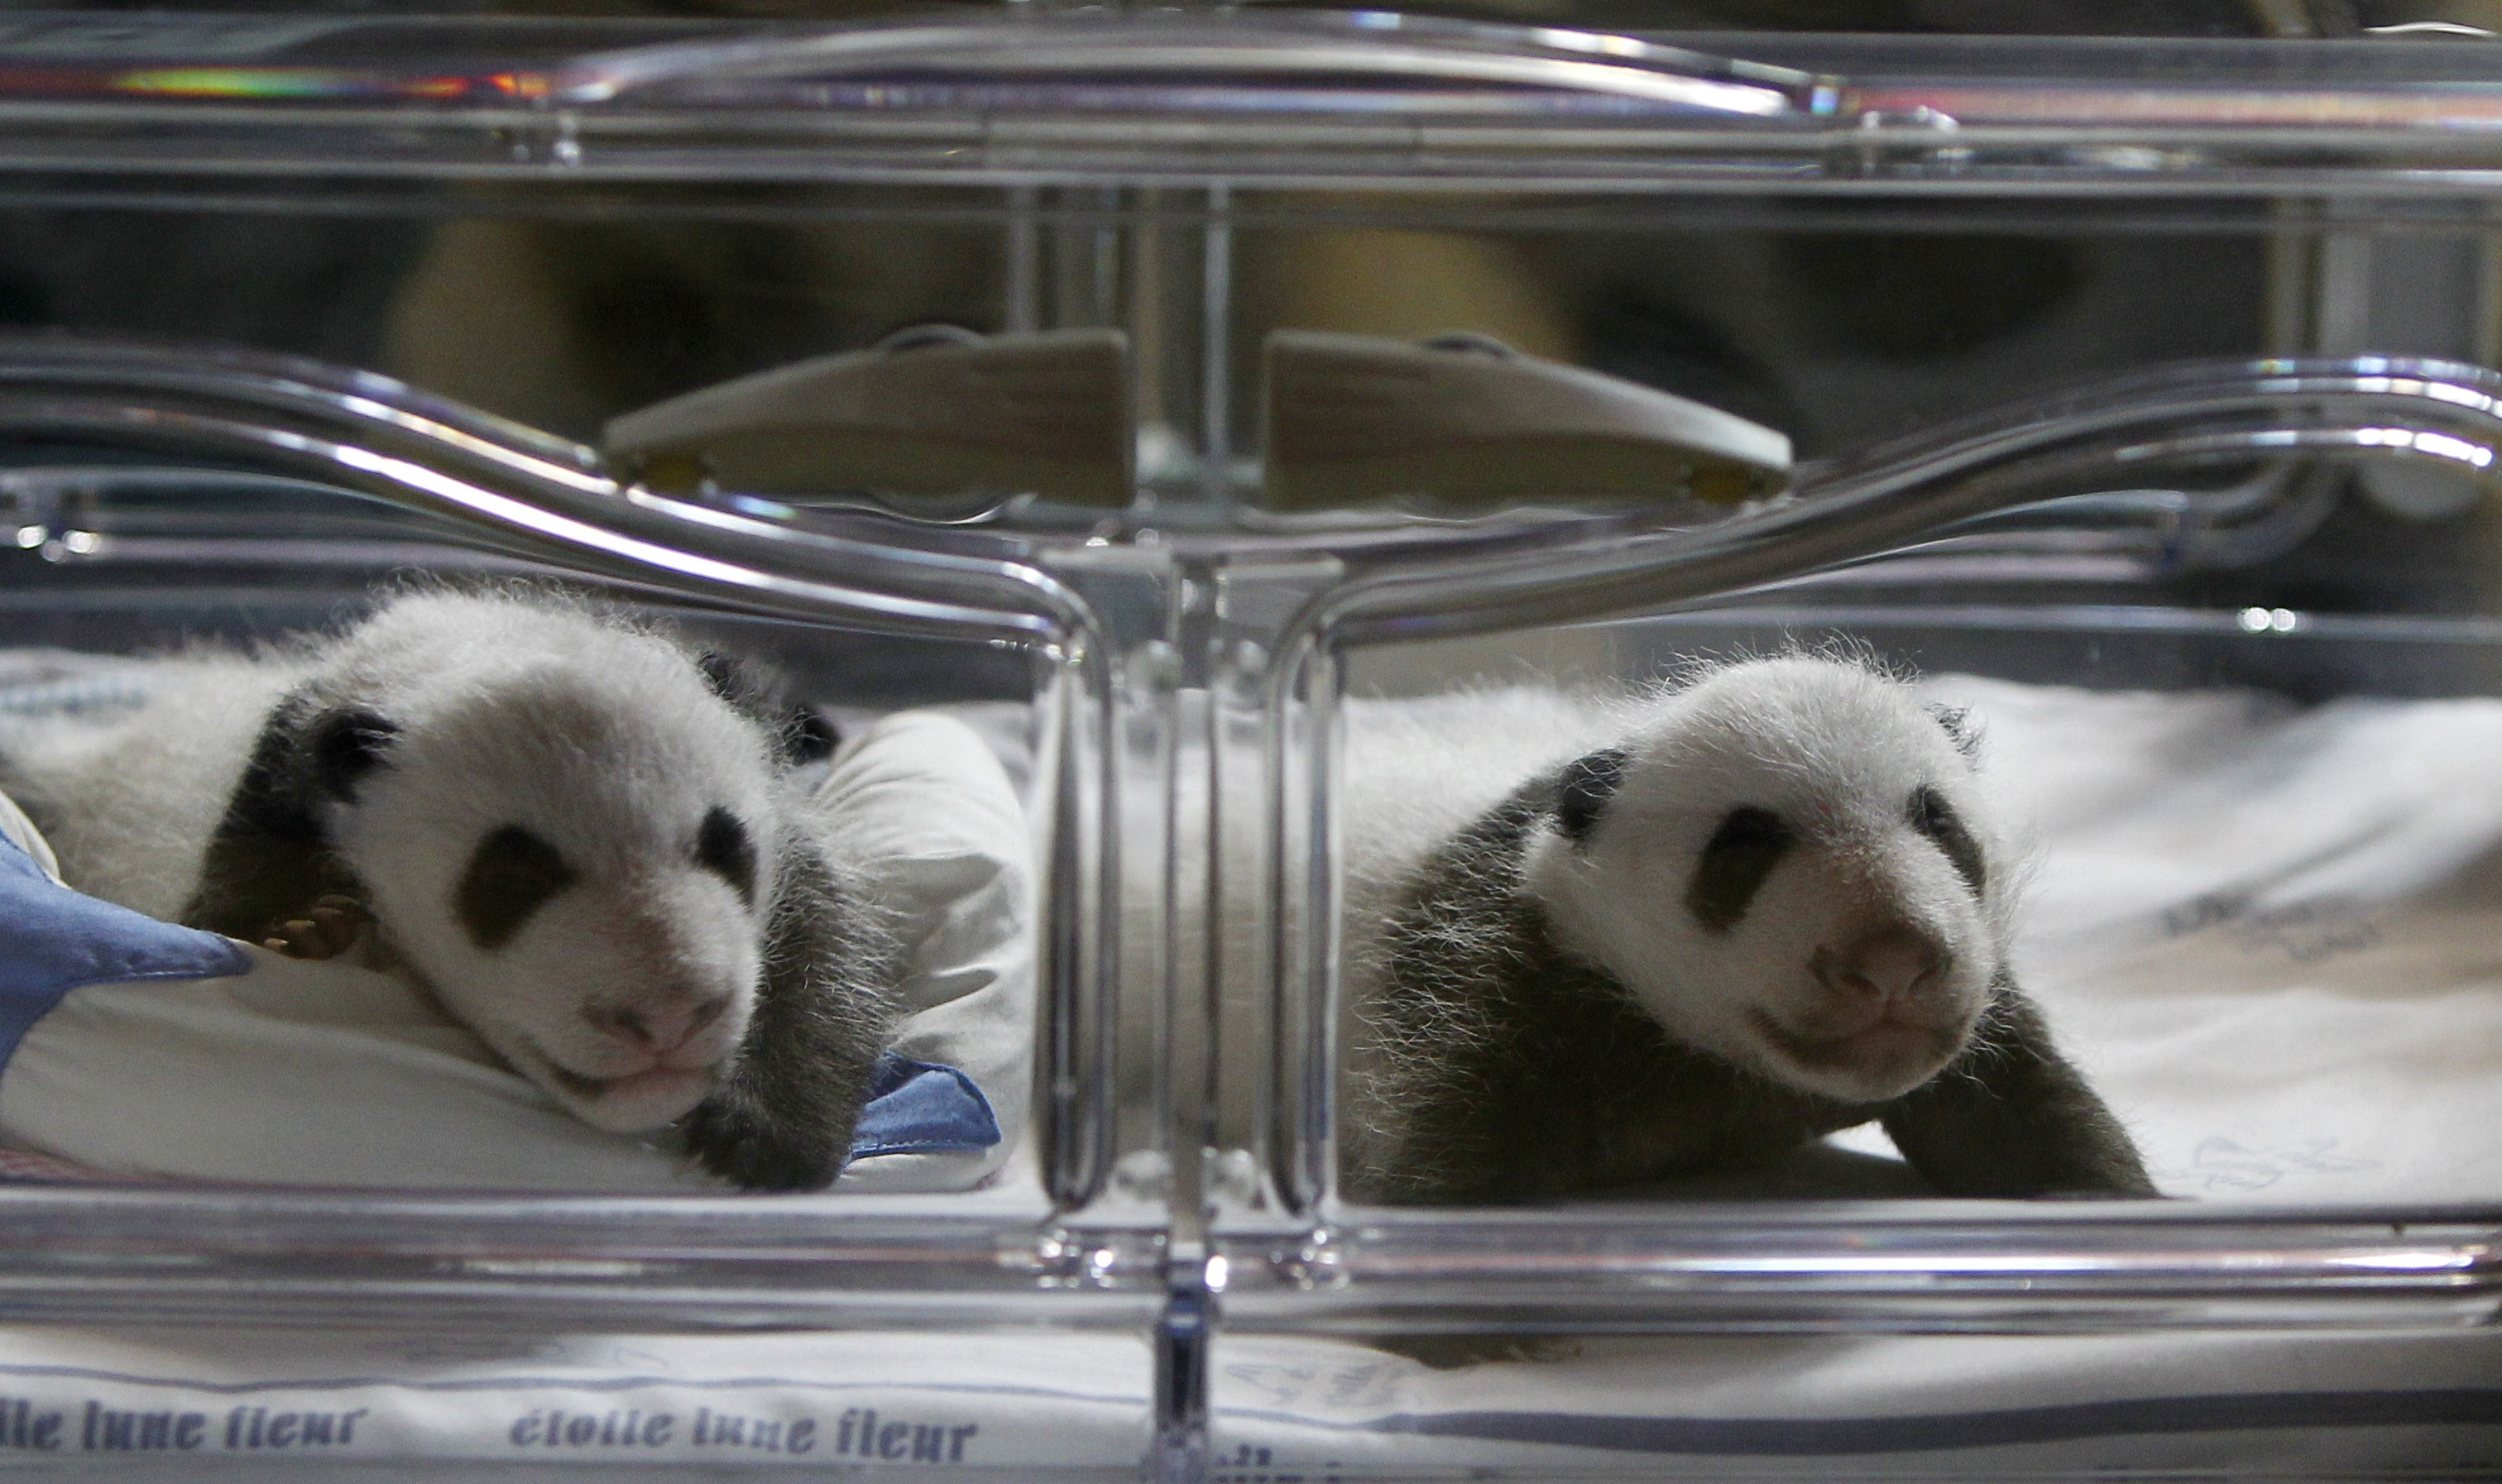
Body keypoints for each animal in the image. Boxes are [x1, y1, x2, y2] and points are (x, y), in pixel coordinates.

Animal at [0, 587, 897, 1192]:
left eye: (726, 848)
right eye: (511, 881)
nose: (667, 1017)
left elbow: (823, 943)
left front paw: (761, 1139)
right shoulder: (282, 774)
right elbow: (239, 902)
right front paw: (307, 927)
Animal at [1339, 655, 2156, 1204]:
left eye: (1937, 821)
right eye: (1744, 846)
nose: (1893, 960)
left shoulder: (1974, 998)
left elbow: (2024, 1111)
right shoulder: (1491, 964)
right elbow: (1453, 1141)